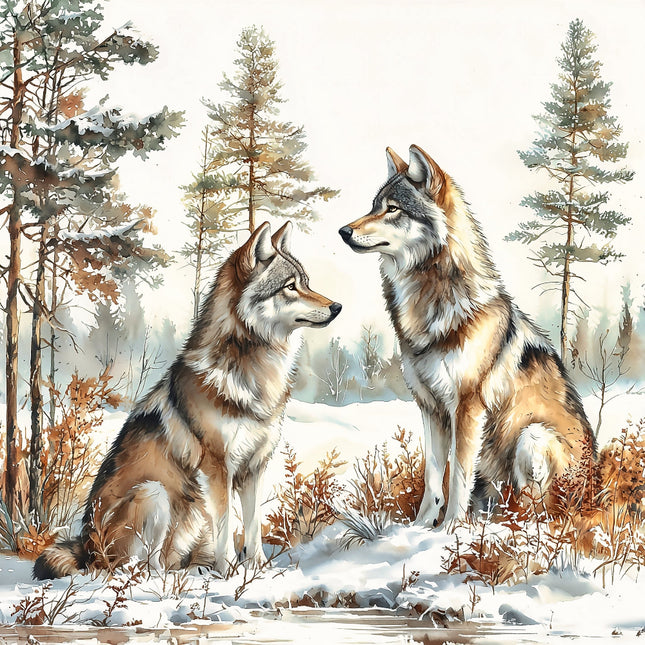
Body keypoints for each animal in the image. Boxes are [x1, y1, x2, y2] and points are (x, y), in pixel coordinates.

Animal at [34, 221, 342, 579]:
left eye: (306, 282)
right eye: (290, 287)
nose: (337, 307)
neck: (251, 370)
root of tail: (86, 548)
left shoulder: (254, 468)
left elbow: (252, 528)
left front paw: (258, 571)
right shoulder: (218, 470)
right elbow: (226, 529)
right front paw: (229, 573)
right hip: (155, 493)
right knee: (138, 568)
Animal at [339, 145, 594, 528]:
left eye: (393, 209)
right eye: (374, 206)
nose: (343, 231)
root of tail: (596, 486)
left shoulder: (467, 408)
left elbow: (458, 475)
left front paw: (451, 529)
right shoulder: (430, 407)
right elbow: (433, 476)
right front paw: (421, 527)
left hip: (531, 436)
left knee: (538, 510)